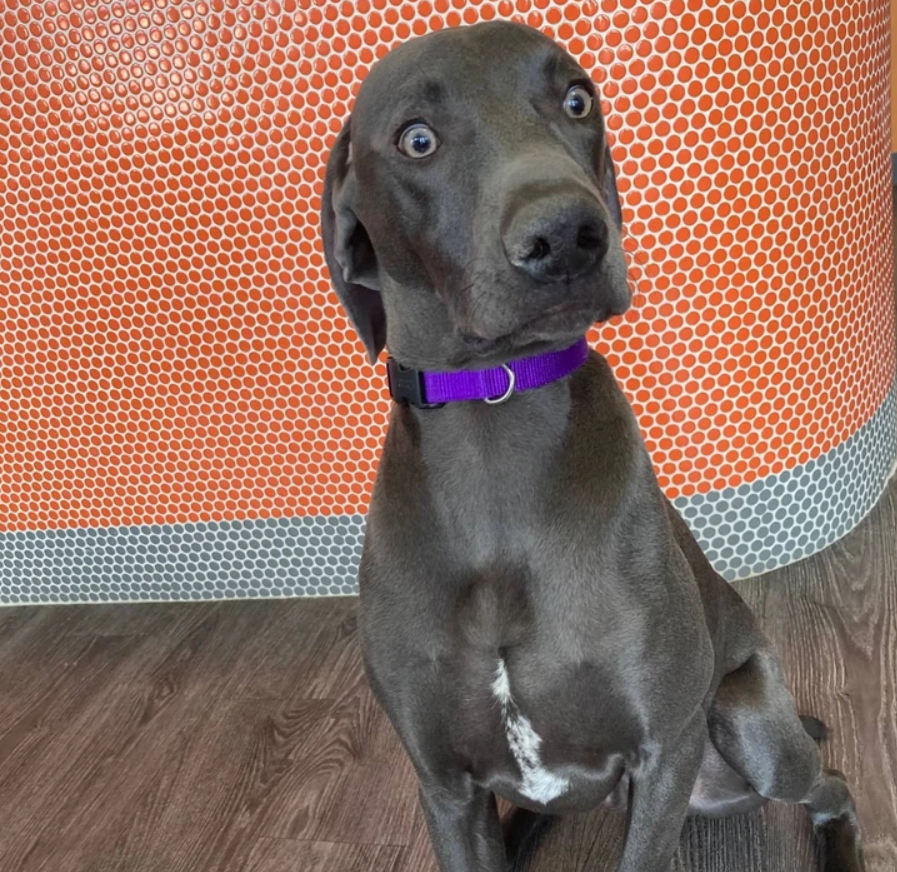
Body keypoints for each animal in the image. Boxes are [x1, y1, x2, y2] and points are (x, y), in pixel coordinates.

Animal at [320, 21, 865, 872]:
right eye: (417, 139)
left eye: (576, 100)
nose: (566, 235)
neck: (496, 421)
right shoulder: (445, 789)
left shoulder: (662, 751)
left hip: (751, 725)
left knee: (829, 782)